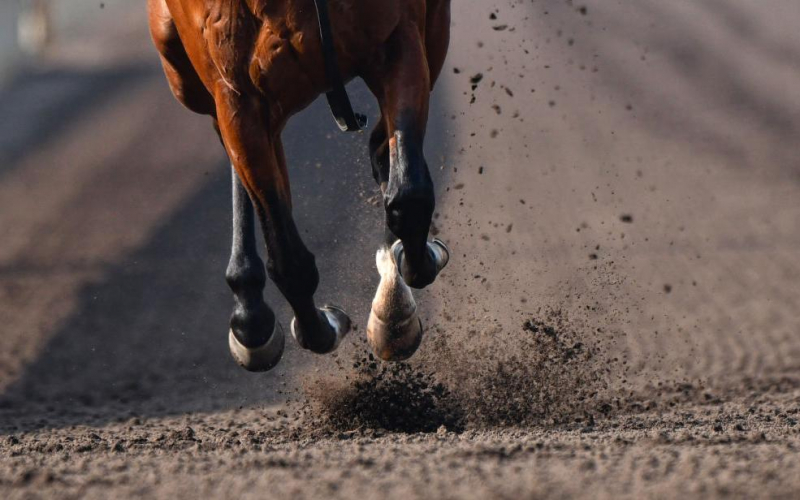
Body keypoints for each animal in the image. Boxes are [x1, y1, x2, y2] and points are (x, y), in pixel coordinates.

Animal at [148, 0, 454, 372]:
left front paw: (395, 312)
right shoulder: (237, 96)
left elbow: (408, 195)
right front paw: (321, 327)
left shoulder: (400, 37)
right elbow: (287, 257)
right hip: (182, 71)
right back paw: (251, 315)